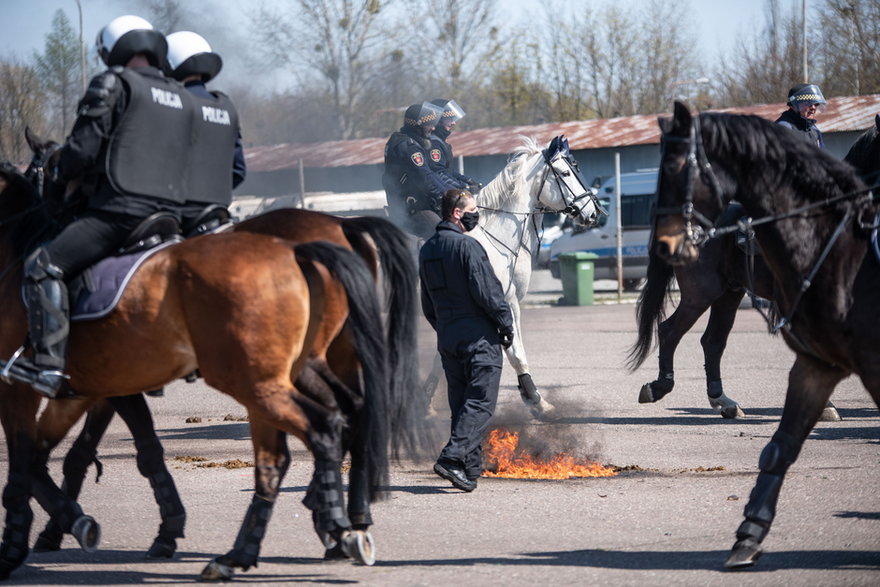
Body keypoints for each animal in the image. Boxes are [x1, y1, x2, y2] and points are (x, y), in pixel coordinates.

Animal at [0, 158, 418, 580]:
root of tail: (338, 225)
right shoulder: (98, 386)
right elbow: (62, 453)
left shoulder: (75, 387)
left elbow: (66, 456)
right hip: (320, 362)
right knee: (353, 416)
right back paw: (344, 522)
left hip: (273, 375)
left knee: (330, 425)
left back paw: (329, 523)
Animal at [470, 136, 608, 418]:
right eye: (565, 173)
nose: (594, 212)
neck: (491, 239)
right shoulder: (505, 303)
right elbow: (516, 353)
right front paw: (536, 400)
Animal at [624, 112, 880, 420]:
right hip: (701, 294)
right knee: (670, 331)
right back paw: (659, 387)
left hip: (729, 294)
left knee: (712, 341)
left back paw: (722, 399)